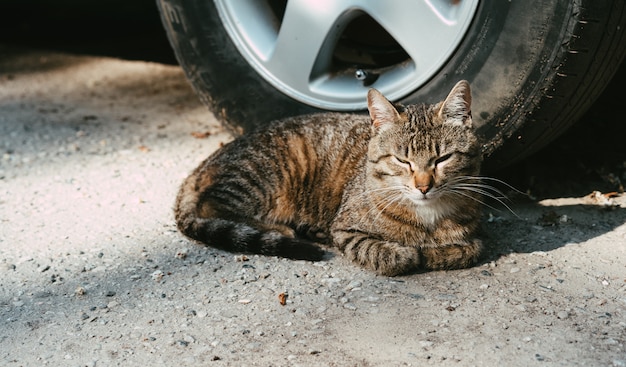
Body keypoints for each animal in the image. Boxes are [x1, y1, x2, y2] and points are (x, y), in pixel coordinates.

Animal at [174, 80, 482, 276]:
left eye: (442, 159)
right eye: (402, 160)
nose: (423, 186)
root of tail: (210, 159)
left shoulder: (475, 235)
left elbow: (470, 250)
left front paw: (436, 252)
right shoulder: (345, 229)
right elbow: (388, 254)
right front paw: (408, 253)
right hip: (261, 176)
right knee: (210, 205)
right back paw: (281, 229)